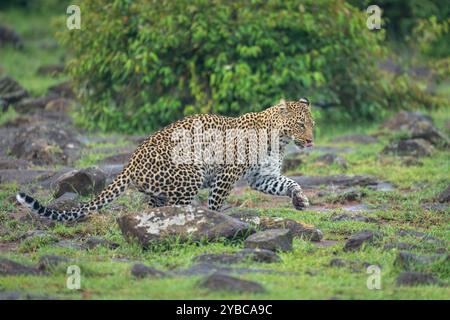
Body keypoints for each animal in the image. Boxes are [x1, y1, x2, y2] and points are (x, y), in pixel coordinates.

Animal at [16, 99, 312, 221]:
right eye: (300, 125)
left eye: (313, 125)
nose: (310, 141)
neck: (279, 139)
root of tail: (131, 161)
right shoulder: (226, 175)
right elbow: (216, 202)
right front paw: (218, 220)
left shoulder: (262, 176)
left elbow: (287, 183)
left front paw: (299, 199)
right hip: (190, 175)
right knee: (176, 208)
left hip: (161, 189)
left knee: (153, 209)